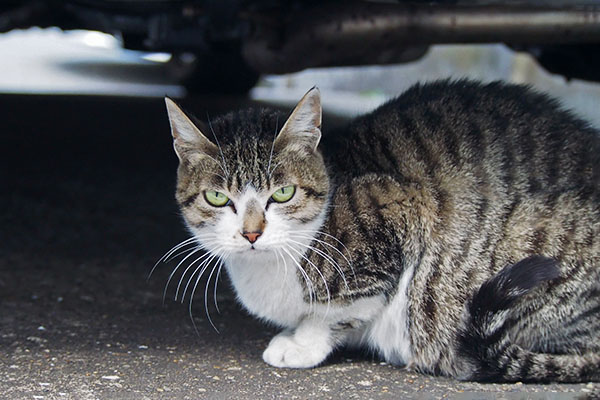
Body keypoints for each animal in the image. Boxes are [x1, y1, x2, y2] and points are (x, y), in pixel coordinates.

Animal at [162, 80, 600, 382]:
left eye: (283, 193)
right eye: (218, 197)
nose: (252, 234)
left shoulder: (405, 213)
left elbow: (337, 311)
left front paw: (302, 343)